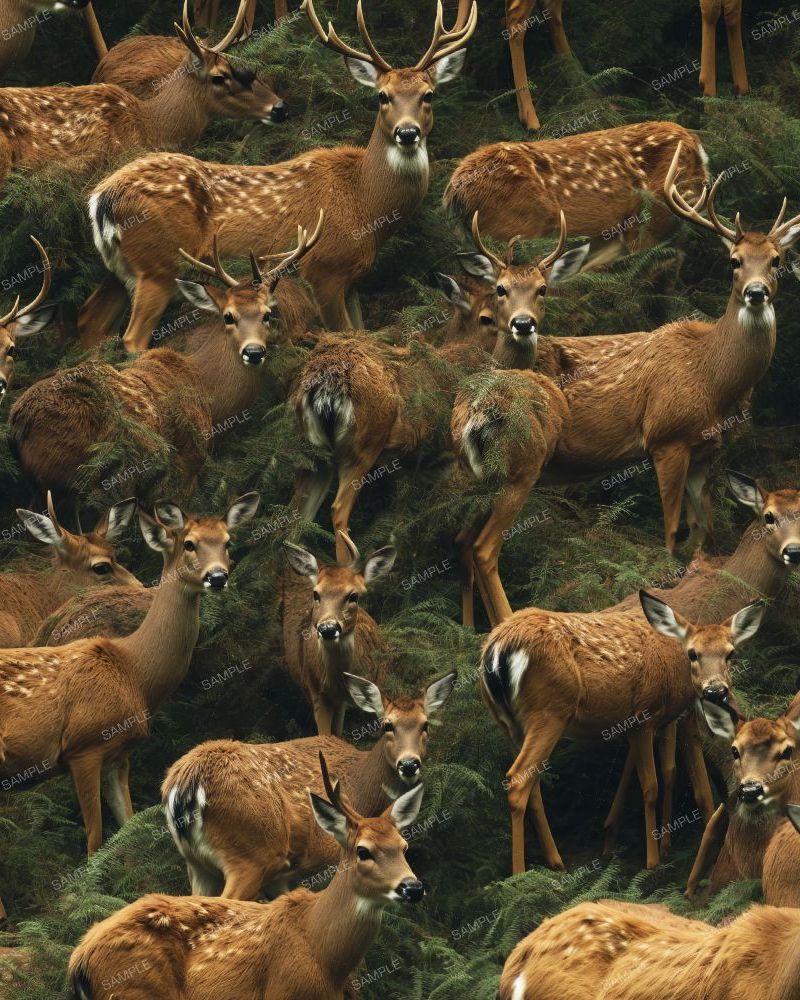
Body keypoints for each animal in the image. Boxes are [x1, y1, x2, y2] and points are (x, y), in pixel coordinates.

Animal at [8, 219, 320, 502]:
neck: (210, 396)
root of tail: (19, 422)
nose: (254, 352)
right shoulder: (186, 465)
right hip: (88, 480)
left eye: (267, 314)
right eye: (228, 316)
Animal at [70, 754, 426, 1000]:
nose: (412, 887)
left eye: (404, 846)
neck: (325, 958)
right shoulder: (284, 992)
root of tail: (79, 959)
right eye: (363, 851)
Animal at [160, 671, 455, 899]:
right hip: (252, 854)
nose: (409, 764)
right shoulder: (326, 858)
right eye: (387, 725)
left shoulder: (283, 878)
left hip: (199, 866)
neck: (359, 787)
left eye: (425, 725)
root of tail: (184, 784)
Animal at [480, 470, 800, 874]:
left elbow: (664, 770)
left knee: (529, 780)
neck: (721, 598)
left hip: (509, 722)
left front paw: (625, 839)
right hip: (549, 712)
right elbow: (683, 776)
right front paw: (662, 851)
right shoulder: (681, 704)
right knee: (518, 781)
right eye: (769, 516)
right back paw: (527, 873)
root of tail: (495, 652)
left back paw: (554, 861)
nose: (794, 551)